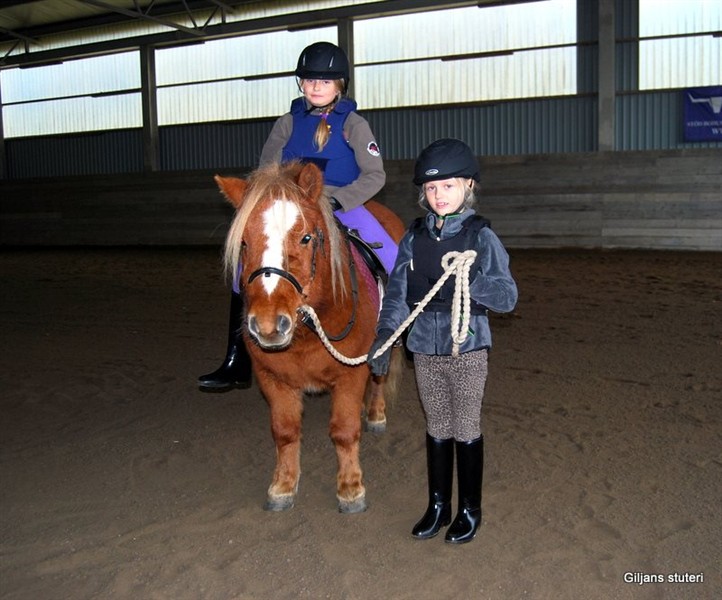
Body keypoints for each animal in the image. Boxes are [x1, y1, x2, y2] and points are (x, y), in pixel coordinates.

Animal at [217, 162, 402, 512]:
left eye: (305, 238)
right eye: (244, 243)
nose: (267, 325)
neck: (308, 330)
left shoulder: (350, 375)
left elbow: (344, 430)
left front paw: (351, 489)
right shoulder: (272, 377)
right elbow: (285, 431)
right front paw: (283, 485)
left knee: (380, 377)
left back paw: (376, 413)